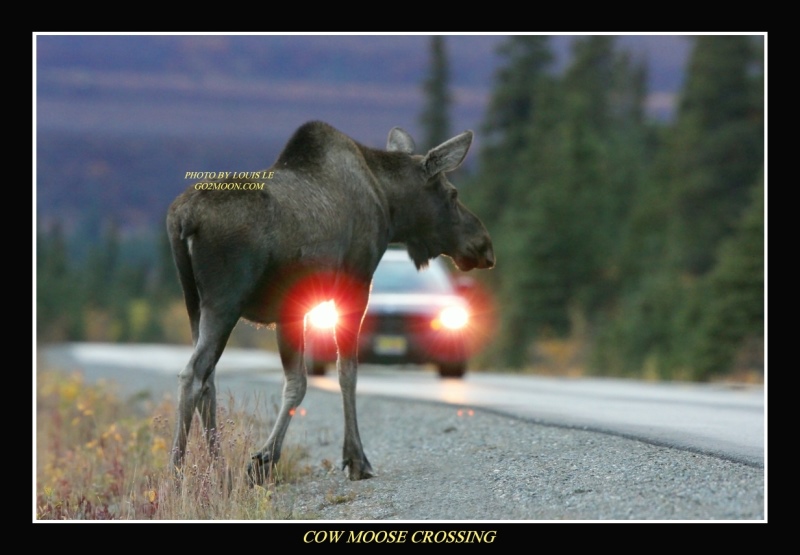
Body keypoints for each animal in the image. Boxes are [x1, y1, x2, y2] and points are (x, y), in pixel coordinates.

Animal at [166, 120, 494, 484]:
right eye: (452, 194)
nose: (483, 245)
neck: (389, 205)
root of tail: (183, 220)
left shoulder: (289, 311)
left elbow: (297, 383)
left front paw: (264, 460)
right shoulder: (356, 284)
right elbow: (345, 372)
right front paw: (354, 459)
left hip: (194, 302)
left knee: (207, 379)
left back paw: (219, 469)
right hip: (225, 301)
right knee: (193, 374)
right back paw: (178, 474)